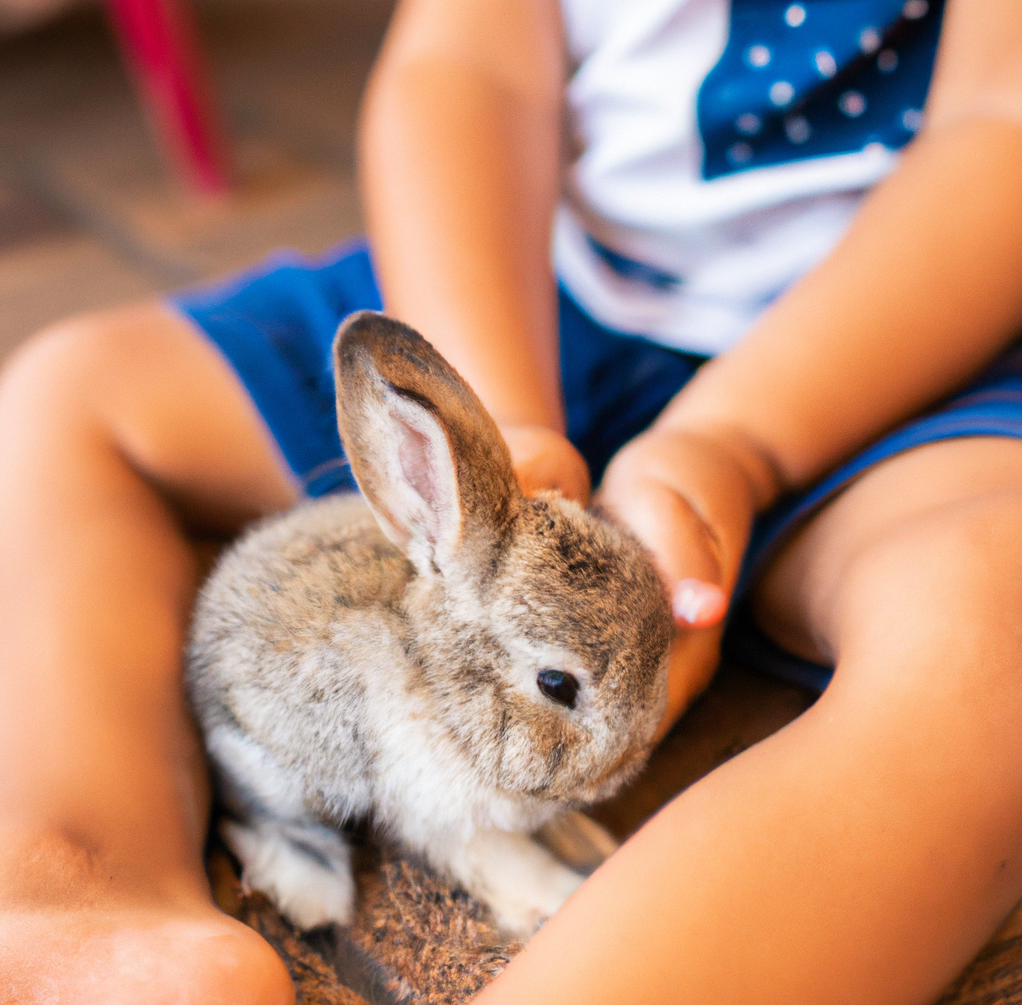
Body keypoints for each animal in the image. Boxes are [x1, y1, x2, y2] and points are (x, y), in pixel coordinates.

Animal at [188, 310, 674, 940]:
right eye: (556, 684)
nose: (635, 753)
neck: (440, 683)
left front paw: (587, 845)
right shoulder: (433, 809)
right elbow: (496, 859)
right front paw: (558, 899)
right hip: (275, 765)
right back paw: (310, 889)